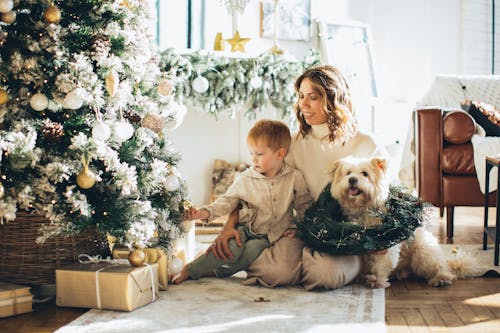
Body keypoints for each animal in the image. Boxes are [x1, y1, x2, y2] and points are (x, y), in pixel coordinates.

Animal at [330, 156, 456, 288]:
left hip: (424, 252)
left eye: (365, 173)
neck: (364, 209)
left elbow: (381, 264)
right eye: (348, 173)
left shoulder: (386, 242)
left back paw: (442, 277)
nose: (352, 179)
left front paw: (378, 281)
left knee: (439, 266)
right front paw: (365, 277)